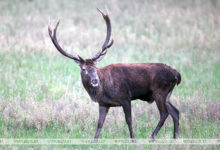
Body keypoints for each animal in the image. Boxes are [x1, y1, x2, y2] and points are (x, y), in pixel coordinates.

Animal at [49, 8, 181, 142]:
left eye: (96, 67)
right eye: (84, 69)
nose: (95, 80)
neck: (103, 89)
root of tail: (177, 74)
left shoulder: (125, 97)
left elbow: (129, 121)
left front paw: (133, 140)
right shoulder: (103, 103)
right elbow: (99, 123)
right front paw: (94, 141)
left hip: (160, 91)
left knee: (164, 113)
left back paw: (152, 137)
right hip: (166, 94)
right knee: (175, 112)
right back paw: (175, 138)